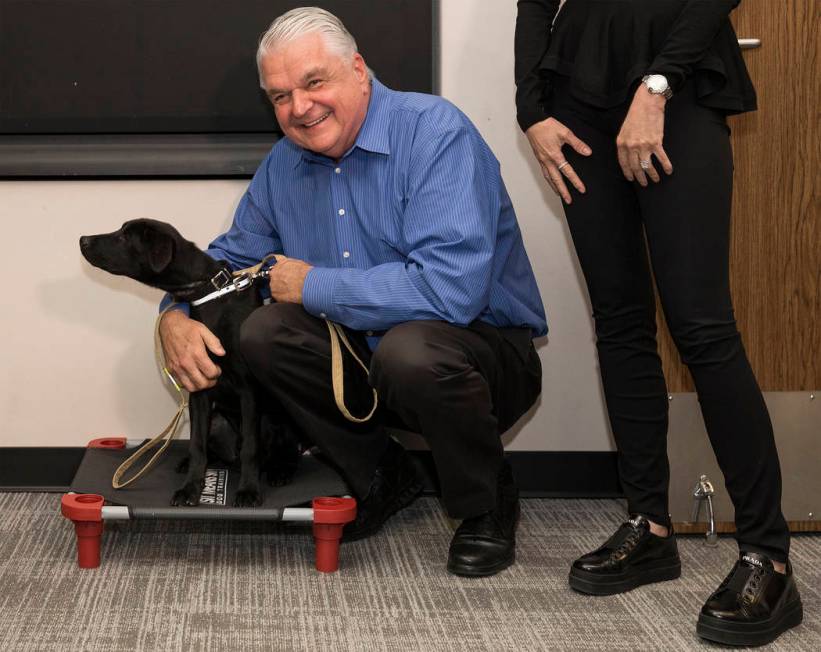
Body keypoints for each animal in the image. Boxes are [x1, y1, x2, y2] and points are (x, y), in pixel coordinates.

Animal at [77, 219, 298, 510]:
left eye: (125, 236)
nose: (83, 239)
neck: (211, 292)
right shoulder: (199, 391)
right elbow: (196, 445)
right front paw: (190, 487)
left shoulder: (248, 390)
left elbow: (251, 447)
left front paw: (249, 490)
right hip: (217, 421)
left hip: (276, 419)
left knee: (281, 449)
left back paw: (279, 469)